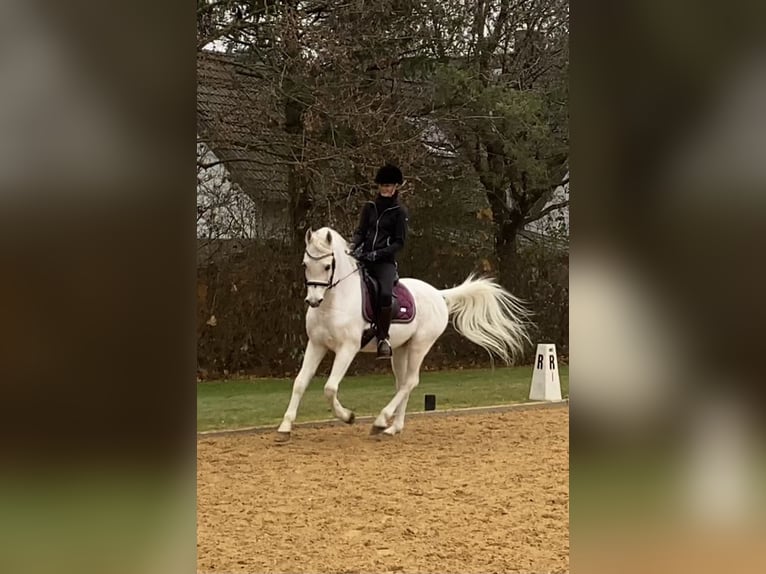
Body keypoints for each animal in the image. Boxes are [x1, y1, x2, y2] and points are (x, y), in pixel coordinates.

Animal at [275, 227, 531, 441]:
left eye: (327, 266)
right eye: (305, 264)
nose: (313, 300)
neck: (334, 303)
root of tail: (438, 294)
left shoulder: (347, 349)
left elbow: (330, 388)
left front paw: (348, 417)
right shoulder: (316, 345)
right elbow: (300, 382)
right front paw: (285, 427)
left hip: (420, 345)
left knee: (410, 381)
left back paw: (381, 421)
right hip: (399, 349)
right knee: (402, 384)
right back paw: (392, 427)